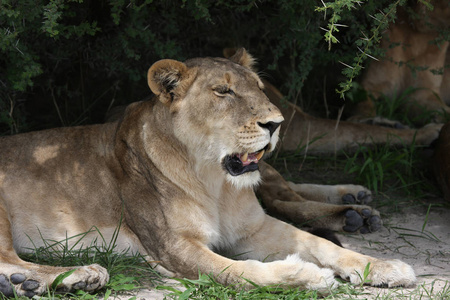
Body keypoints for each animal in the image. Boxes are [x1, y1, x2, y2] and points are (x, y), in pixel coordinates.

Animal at [0, 48, 416, 296]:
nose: (277, 124)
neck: (215, 181)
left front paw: (382, 266)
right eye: (223, 92)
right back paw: (73, 277)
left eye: (260, 88)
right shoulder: (175, 247)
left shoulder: (255, 228)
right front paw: (306, 276)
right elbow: (240, 272)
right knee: (10, 259)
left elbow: (320, 244)